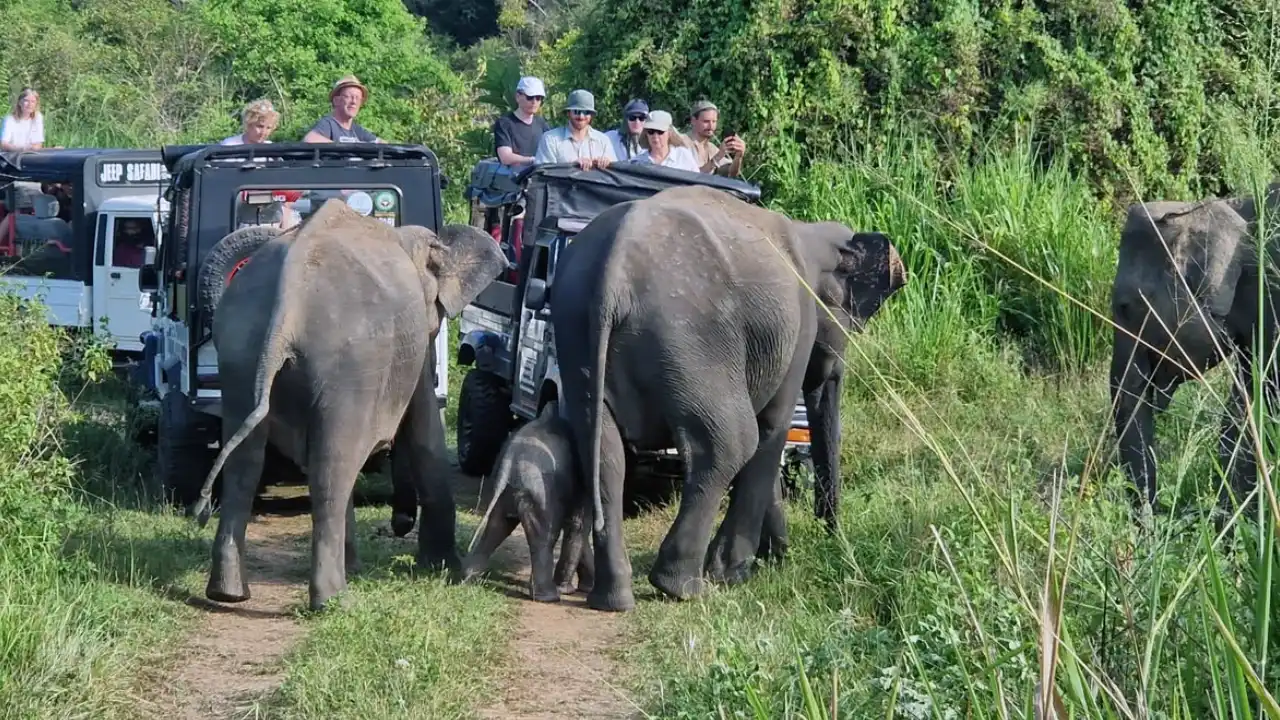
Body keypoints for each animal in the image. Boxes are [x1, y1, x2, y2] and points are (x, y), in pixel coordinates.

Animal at [190, 198, 507, 611]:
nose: (400, 523)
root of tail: (287, 304)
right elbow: (424, 429)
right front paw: (443, 569)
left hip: (241, 350)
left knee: (247, 463)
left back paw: (228, 593)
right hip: (347, 361)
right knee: (332, 467)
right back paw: (334, 600)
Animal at [462, 400, 595, 602]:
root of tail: (509, 460)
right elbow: (577, 523)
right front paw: (571, 590)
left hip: (507, 491)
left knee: (496, 526)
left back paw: (468, 579)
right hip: (538, 492)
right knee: (545, 535)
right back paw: (550, 597)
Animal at [550, 184, 906, 612]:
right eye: (854, 321)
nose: (832, 536)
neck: (811, 233)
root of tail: (614, 272)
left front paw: (773, 556)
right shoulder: (798, 324)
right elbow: (772, 428)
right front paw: (737, 573)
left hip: (578, 330)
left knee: (603, 448)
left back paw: (614, 598)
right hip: (690, 339)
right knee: (731, 442)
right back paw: (683, 586)